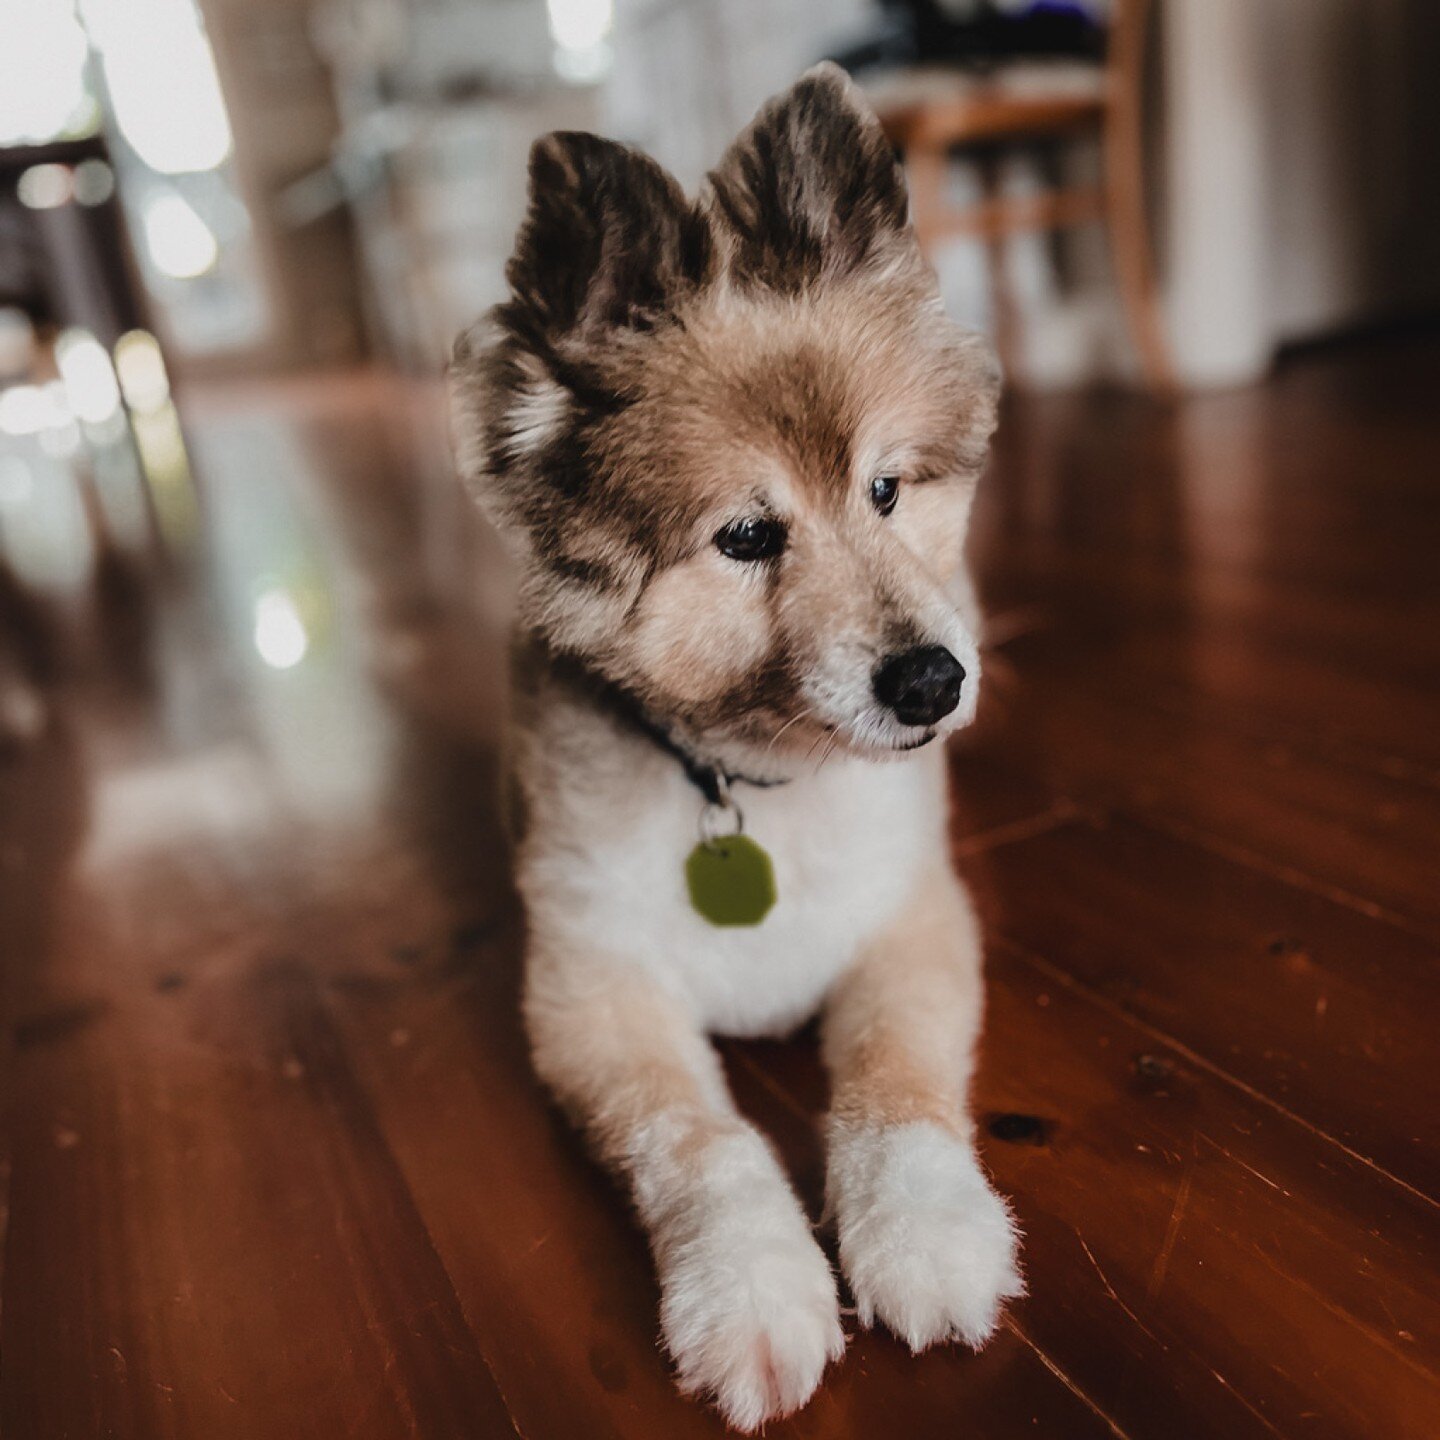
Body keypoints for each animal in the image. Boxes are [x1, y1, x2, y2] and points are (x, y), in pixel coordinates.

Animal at [449, 61, 1025, 1434]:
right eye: (749, 536)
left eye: (888, 489)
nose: (934, 680)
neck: (756, 779)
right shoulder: (593, 996)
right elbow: (702, 1145)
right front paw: (753, 1291)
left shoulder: (913, 922)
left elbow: (898, 1087)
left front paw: (925, 1233)